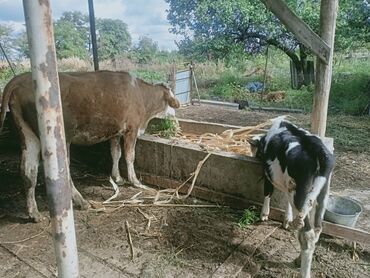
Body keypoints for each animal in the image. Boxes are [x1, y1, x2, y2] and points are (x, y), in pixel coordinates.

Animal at [0, 70, 179, 222]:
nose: (177, 111)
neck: (141, 95)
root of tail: (21, 78)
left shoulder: (115, 132)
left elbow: (116, 153)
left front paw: (117, 178)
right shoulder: (131, 129)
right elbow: (129, 156)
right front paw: (135, 181)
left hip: (28, 135)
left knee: (28, 171)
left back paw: (34, 213)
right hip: (58, 137)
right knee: (60, 169)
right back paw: (81, 201)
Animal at [251, 117, 336, 278]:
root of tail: (318, 149)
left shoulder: (267, 173)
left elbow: (267, 192)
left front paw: (264, 214)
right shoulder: (288, 185)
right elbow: (286, 200)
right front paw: (287, 219)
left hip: (300, 196)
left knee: (307, 236)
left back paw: (304, 272)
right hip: (322, 194)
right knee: (317, 229)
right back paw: (298, 258)